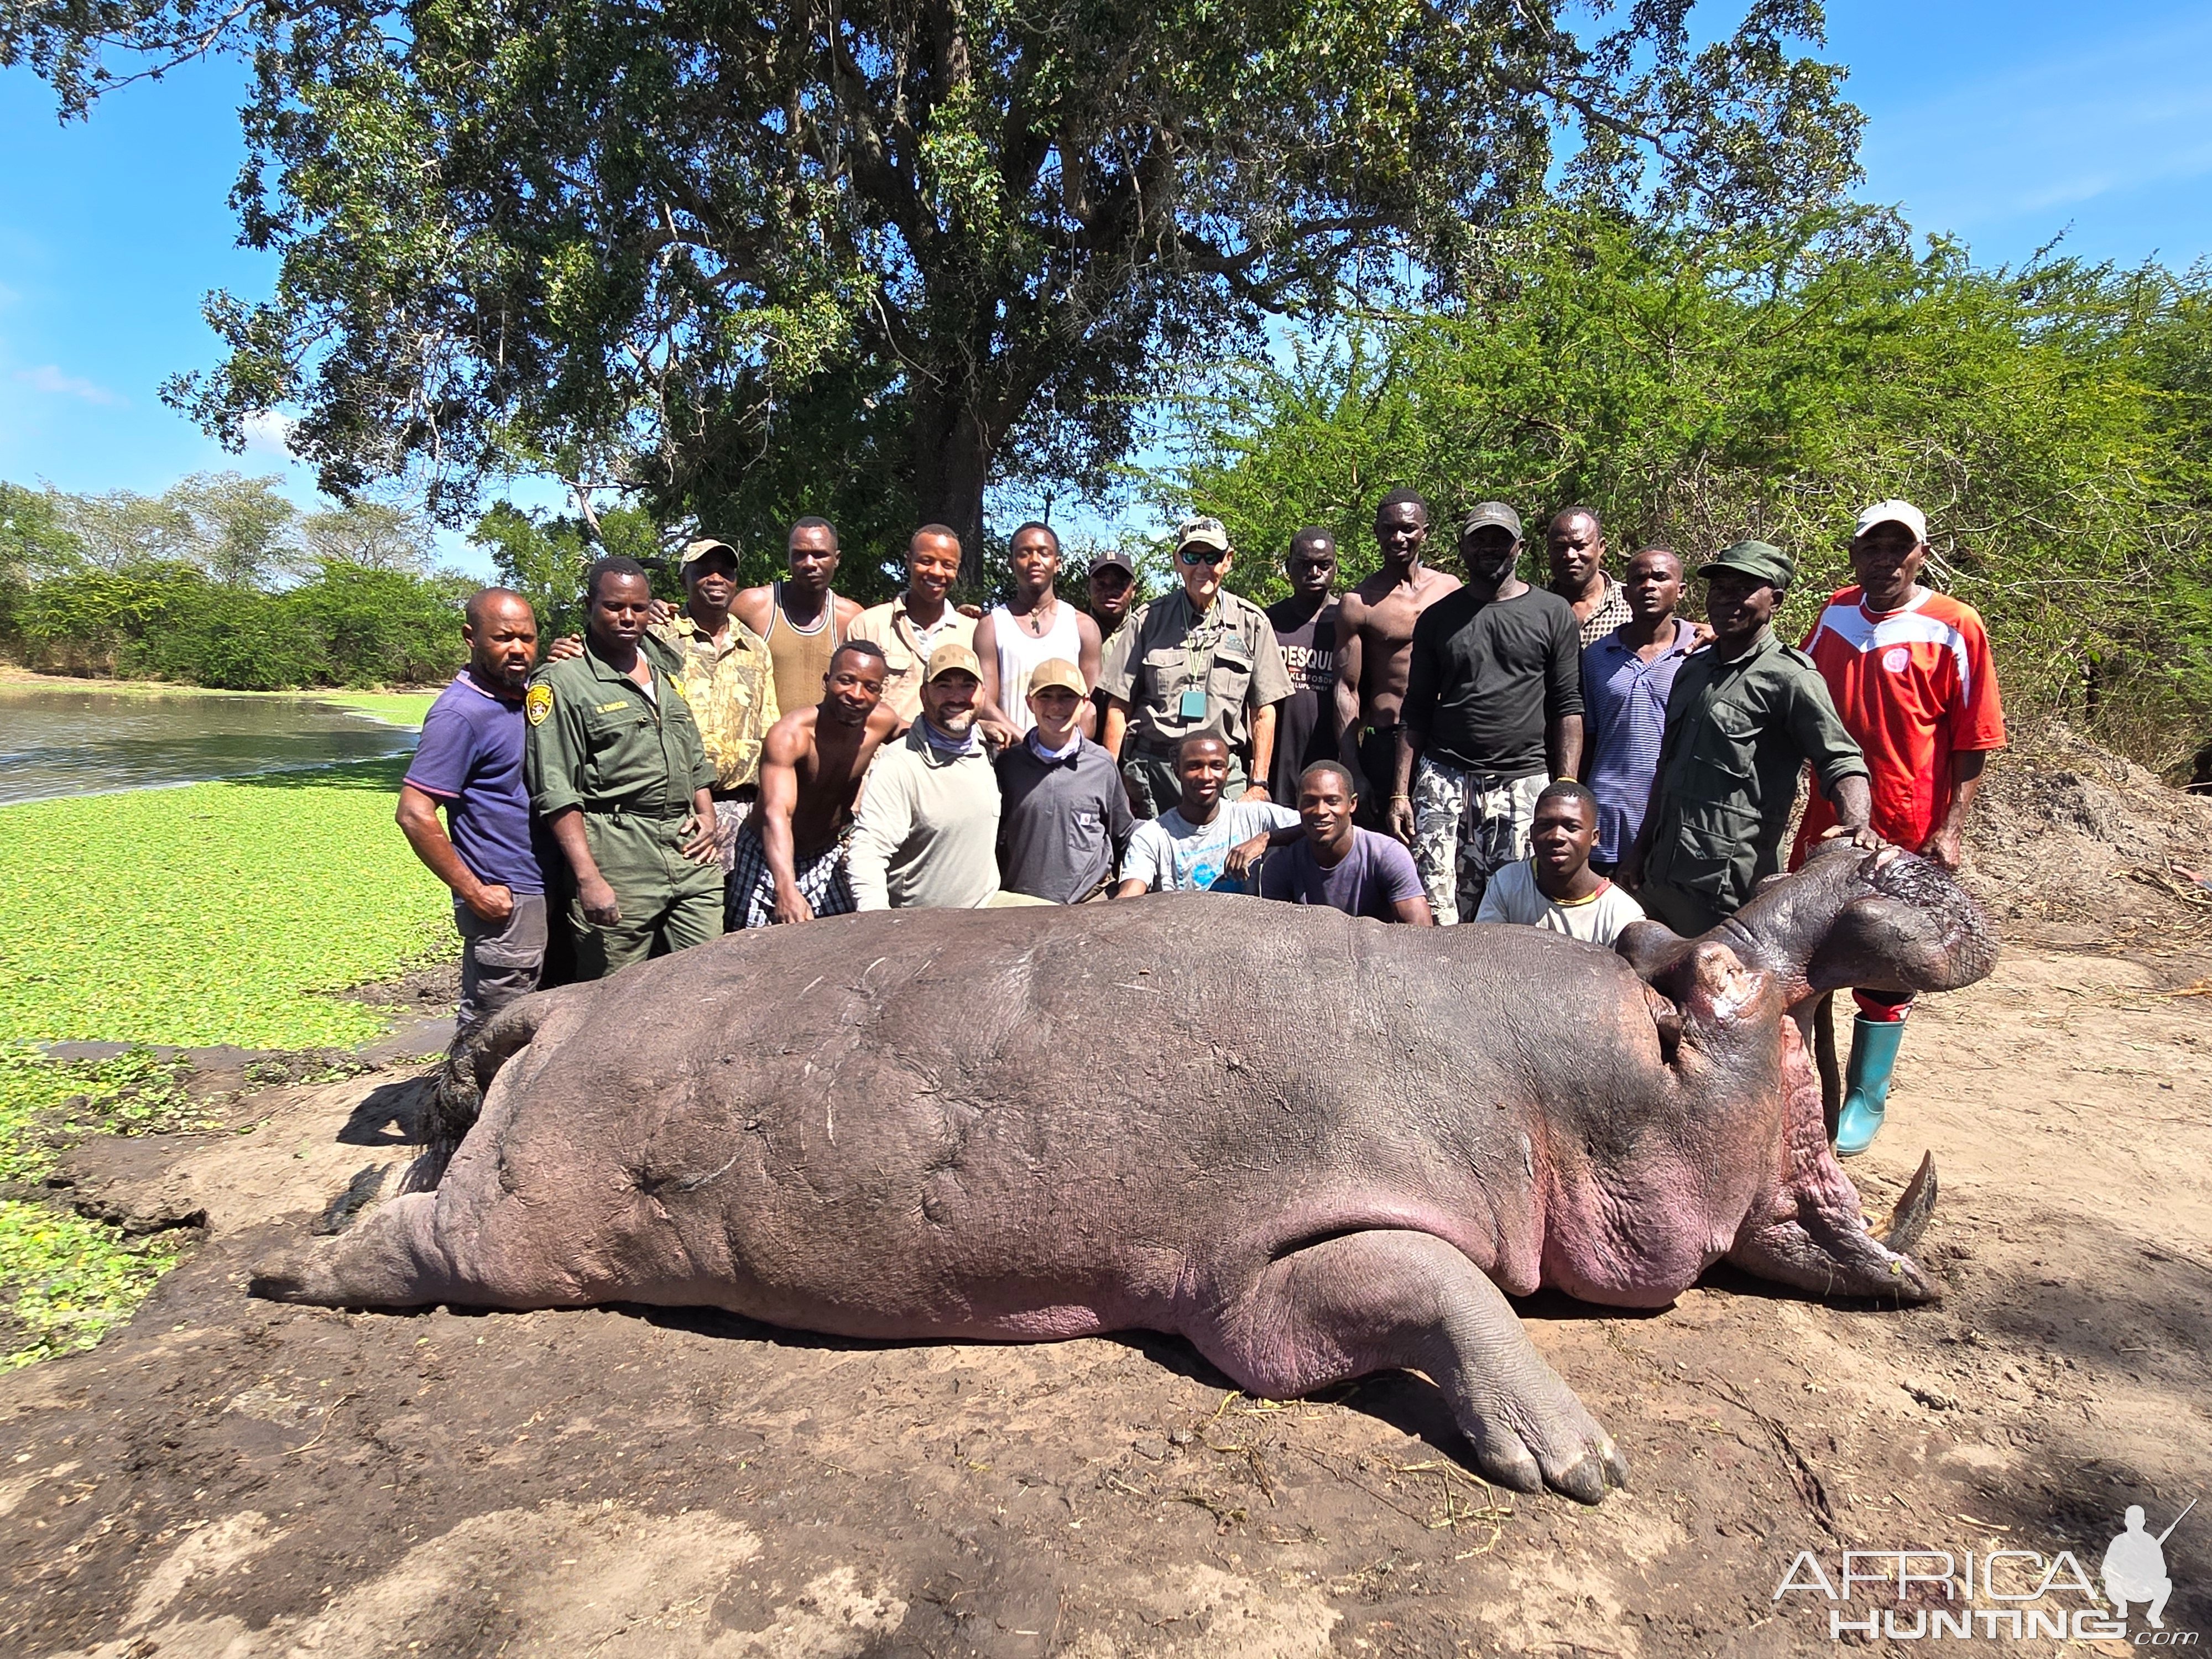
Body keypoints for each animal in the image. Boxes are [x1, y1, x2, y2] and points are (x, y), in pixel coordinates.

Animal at [254, 845, 1991, 1504]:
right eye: (1710, 966)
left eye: (1667, 940)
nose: (1890, 854)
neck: (1563, 1080)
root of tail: (565, 1003)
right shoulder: (1265, 1278)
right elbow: (1441, 1290)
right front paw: (1581, 1461)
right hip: (518, 1221)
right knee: (417, 1244)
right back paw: (283, 1267)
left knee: (414, 1180)